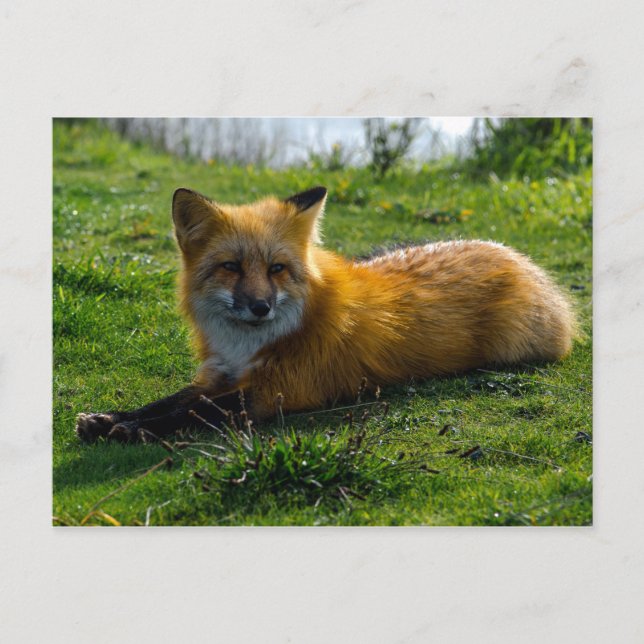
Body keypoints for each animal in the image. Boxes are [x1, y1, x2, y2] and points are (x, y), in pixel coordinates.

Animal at [76, 186, 576, 442]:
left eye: (276, 269)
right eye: (231, 267)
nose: (260, 307)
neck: (250, 346)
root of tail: (518, 257)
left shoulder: (280, 391)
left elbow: (195, 411)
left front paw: (130, 430)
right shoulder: (221, 374)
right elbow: (171, 400)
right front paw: (112, 418)